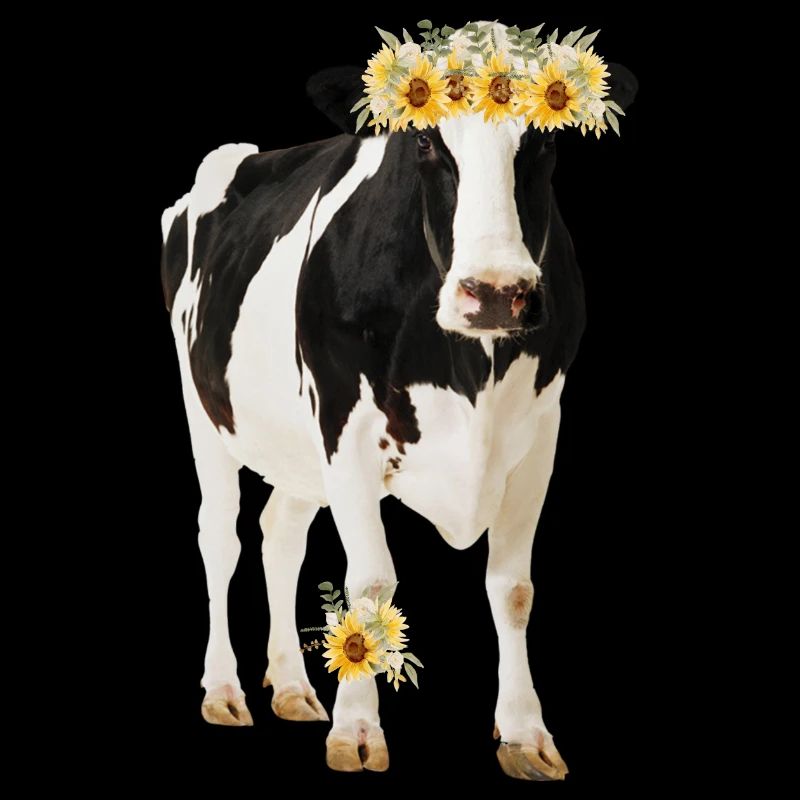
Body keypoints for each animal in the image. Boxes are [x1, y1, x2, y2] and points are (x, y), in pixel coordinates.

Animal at [160, 38, 637, 781]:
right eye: (423, 141)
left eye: (547, 138)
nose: (494, 293)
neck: (469, 369)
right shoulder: (346, 426)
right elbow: (371, 581)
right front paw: (357, 731)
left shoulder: (540, 434)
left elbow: (514, 588)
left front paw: (525, 734)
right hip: (202, 404)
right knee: (220, 534)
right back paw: (224, 690)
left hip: (300, 447)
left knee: (280, 532)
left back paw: (291, 685)